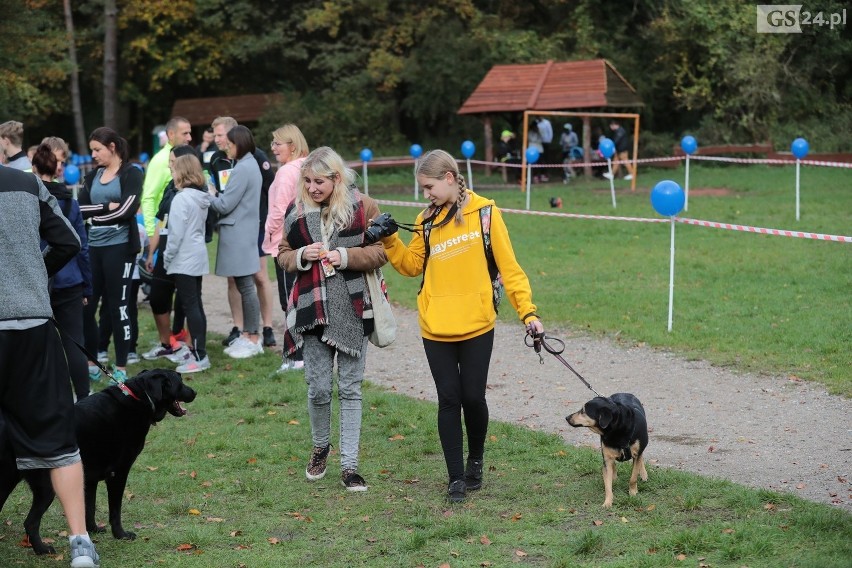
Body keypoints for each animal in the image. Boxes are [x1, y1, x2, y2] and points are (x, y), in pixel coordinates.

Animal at [0, 368, 195, 556]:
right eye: (180, 381)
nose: (195, 392)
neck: (140, 398)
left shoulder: (89, 478)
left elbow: (89, 507)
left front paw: (92, 530)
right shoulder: (118, 473)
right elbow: (115, 510)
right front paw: (121, 535)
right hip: (46, 487)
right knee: (30, 522)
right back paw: (42, 550)